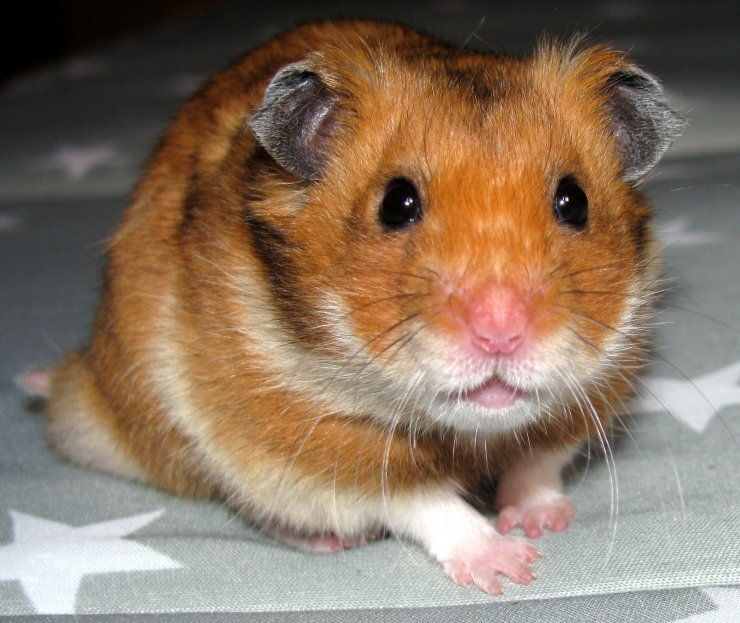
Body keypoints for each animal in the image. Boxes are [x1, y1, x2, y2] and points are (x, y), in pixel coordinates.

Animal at [40, 20, 683, 594]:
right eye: (396, 203)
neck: (467, 431)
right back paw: (330, 543)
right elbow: (423, 501)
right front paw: (510, 568)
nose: (500, 332)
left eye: (574, 201)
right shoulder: (314, 448)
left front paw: (542, 522)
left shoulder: (589, 393)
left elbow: (537, 462)